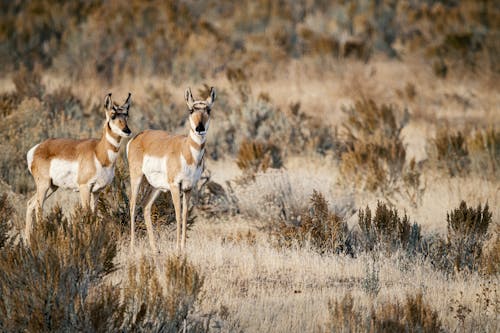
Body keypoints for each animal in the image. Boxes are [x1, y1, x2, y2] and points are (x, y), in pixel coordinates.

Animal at [26, 92, 132, 240]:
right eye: (113, 115)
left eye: (126, 115)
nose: (127, 130)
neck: (98, 152)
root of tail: (36, 149)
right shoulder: (84, 187)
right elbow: (87, 215)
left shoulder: (97, 191)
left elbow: (94, 214)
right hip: (44, 185)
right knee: (38, 207)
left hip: (52, 186)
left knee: (30, 204)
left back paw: (28, 240)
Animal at [127, 87, 215, 250]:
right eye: (191, 109)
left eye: (208, 109)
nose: (199, 128)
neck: (186, 151)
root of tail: (138, 137)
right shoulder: (175, 186)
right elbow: (178, 214)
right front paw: (177, 249)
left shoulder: (188, 188)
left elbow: (185, 215)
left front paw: (183, 249)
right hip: (137, 178)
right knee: (132, 205)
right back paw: (132, 248)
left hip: (156, 187)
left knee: (146, 206)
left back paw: (155, 249)